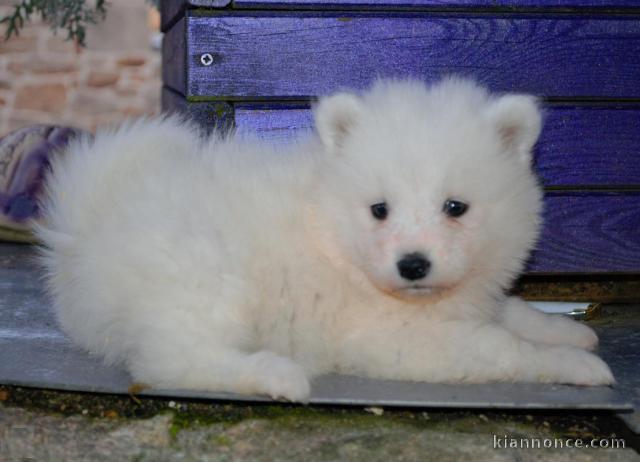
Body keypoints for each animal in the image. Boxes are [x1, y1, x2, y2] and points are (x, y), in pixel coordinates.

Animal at [35, 78, 616, 400]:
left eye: (456, 208)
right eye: (380, 210)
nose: (412, 265)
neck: (332, 231)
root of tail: (86, 228)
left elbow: (509, 312)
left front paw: (567, 333)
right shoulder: (393, 337)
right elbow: (499, 346)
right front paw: (575, 365)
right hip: (207, 279)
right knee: (171, 360)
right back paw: (274, 374)